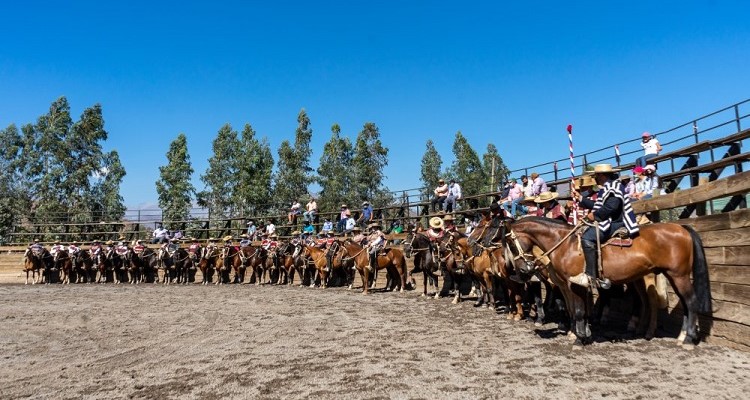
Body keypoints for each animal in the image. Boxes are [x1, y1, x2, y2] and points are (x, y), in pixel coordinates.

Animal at [506, 216, 712, 346]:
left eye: (511, 245)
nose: (522, 269)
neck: (565, 243)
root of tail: (682, 228)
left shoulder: (574, 284)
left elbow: (579, 311)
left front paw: (579, 339)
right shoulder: (576, 286)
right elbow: (580, 310)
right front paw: (583, 335)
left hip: (679, 276)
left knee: (690, 302)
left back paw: (688, 339)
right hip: (672, 276)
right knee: (683, 304)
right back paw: (681, 336)